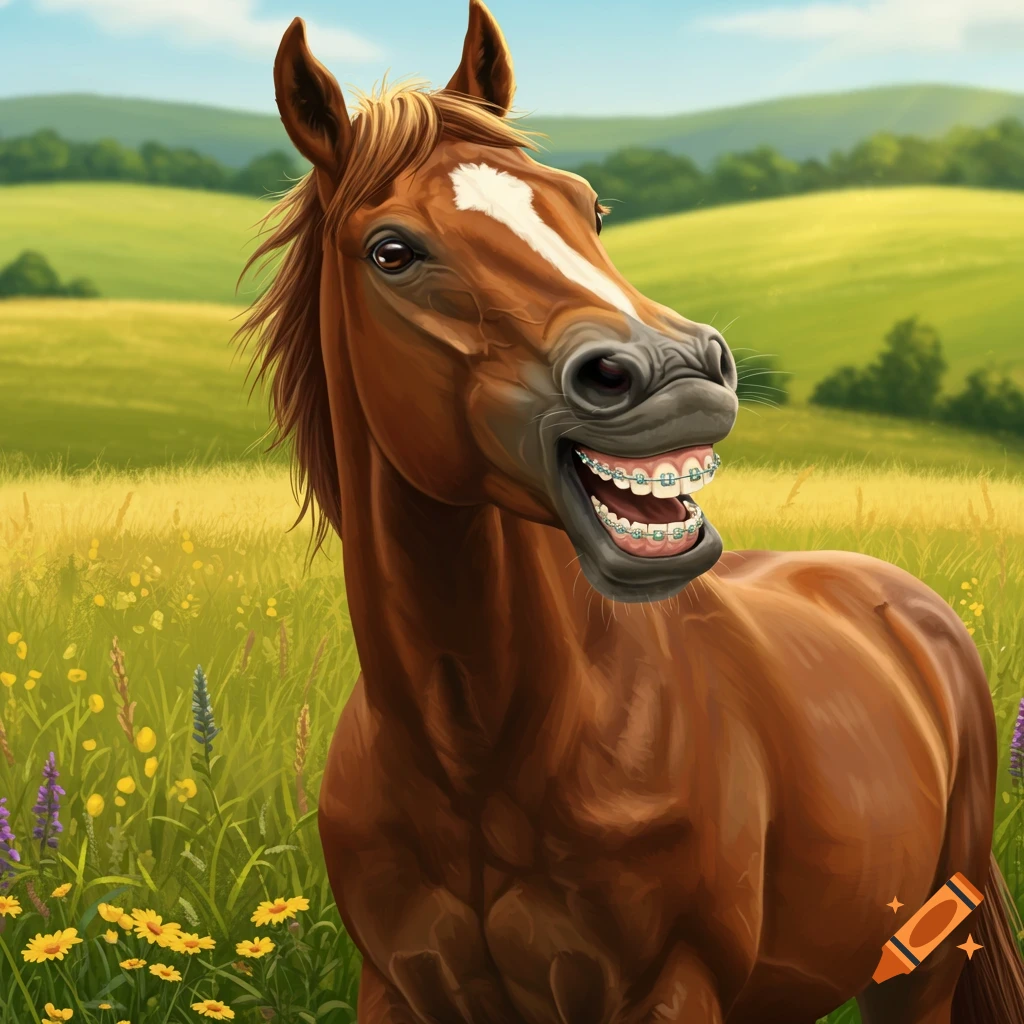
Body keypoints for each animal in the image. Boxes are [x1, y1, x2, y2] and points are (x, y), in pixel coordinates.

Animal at [238, 3, 1024, 1021]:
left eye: (590, 208)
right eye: (392, 252)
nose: (679, 372)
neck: (476, 754)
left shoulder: (670, 988)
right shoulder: (399, 988)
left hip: (922, 966)